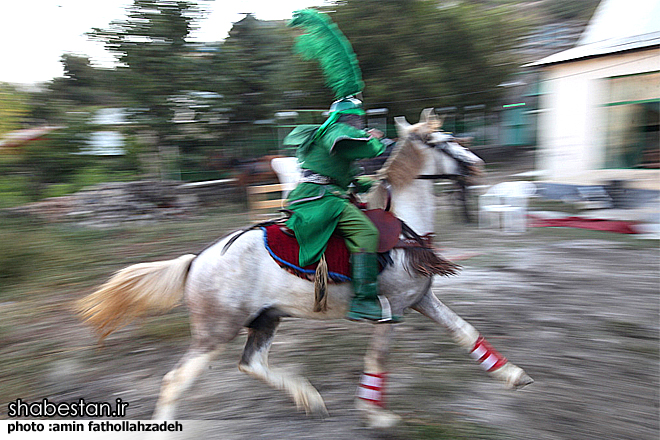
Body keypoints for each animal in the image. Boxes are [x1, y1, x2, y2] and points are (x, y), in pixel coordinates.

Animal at [76, 108, 532, 428]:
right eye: (444, 140)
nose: (477, 165)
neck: (405, 226)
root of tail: (197, 261)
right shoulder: (393, 311)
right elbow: (378, 360)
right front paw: (375, 415)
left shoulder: (422, 299)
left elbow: (466, 333)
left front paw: (513, 375)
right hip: (216, 330)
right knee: (176, 380)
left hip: (266, 318)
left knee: (250, 363)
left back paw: (308, 397)